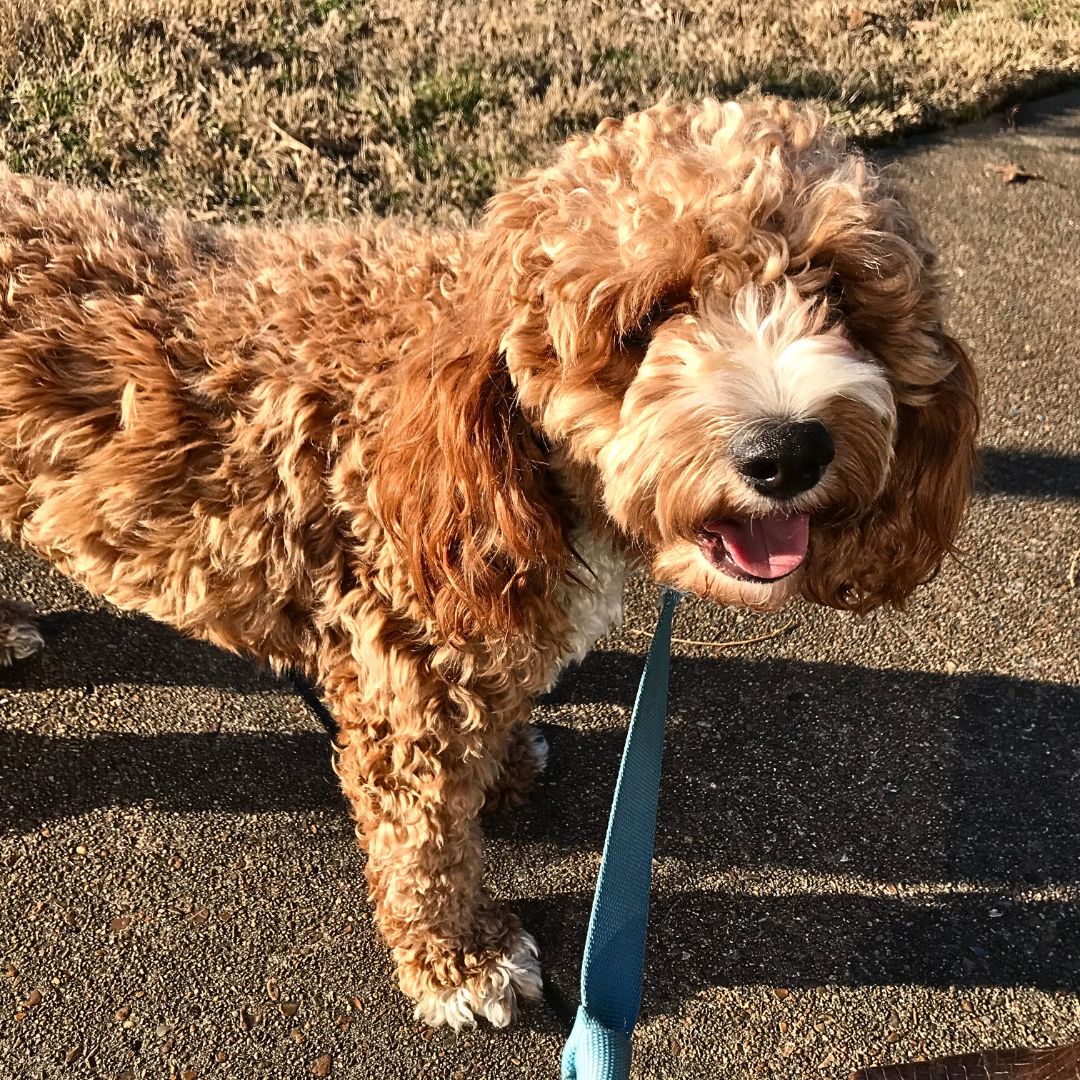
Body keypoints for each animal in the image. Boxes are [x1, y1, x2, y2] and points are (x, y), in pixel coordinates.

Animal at [0, 99, 980, 1028]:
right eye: (647, 319)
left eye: (839, 292)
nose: (787, 451)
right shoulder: (405, 694)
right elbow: (426, 845)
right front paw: (459, 960)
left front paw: (505, 765)